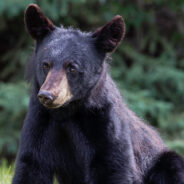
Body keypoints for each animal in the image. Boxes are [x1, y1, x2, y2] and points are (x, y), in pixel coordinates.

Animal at [12, 3, 184, 184]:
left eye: (72, 68)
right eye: (45, 65)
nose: (47, 95)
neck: (67, 112)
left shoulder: (105, 123)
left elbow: (113, 166)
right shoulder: (39, 121)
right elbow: (31, 166)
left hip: (165, 160)